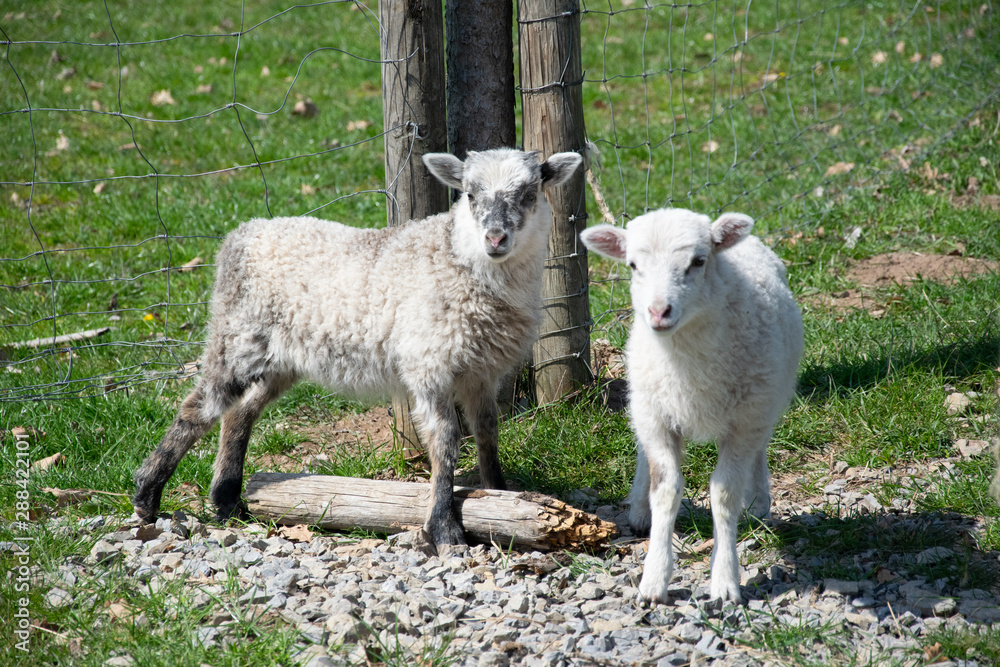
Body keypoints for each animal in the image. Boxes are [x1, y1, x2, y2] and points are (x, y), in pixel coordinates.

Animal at [133, 148, 583, 550]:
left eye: (530, 192)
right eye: (470, 194)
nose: (495, 237)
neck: (458, 259)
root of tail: (243, 233)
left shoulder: (481, 372)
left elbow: (488, 433)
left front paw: (500, 495)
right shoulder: (429, 365)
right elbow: (446, 442)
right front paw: (443, 528)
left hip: (280, 357)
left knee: (239, 413)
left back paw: (227, 502)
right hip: (237, 337)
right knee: (198, 408)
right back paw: (147, 496)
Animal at [580, 208, 803, 603]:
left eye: (698, 261)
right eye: (633, 265)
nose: (658, 312)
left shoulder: (744, 422)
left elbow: (724, 495)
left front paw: (725, 580)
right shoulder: (657, 418)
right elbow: (665, 490)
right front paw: (654, 578)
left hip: (765, 400)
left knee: (760, 449)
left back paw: (758, 504)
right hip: (647, 398)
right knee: (644, 455)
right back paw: (639, 510)